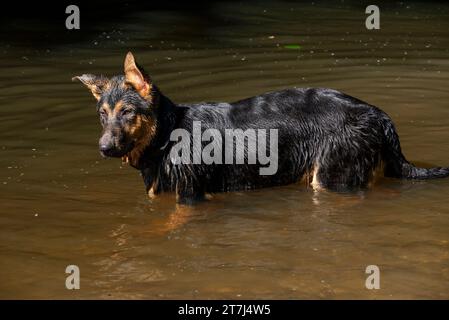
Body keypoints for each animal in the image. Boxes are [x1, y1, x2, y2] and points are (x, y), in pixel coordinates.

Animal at [73, 51, 448, 204]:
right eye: (103, 114)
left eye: (127, 112)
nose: (103, 148)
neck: (167, 135)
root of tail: (378, 113)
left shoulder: (192, 197)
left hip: (332, 178)